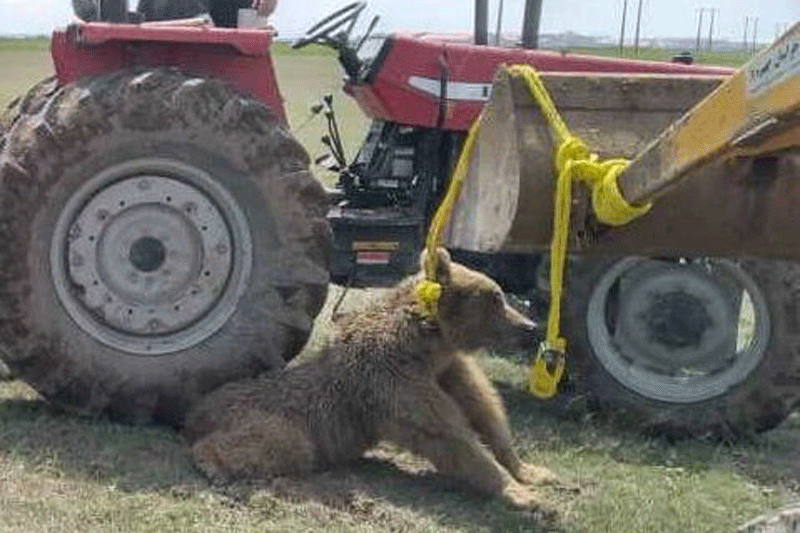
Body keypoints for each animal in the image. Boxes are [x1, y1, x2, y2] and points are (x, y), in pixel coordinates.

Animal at [183, 248, 556, 512]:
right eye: (495, 297)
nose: (530, 327)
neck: (427, 345)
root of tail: (197, 408)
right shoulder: (394, 381)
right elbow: (450, 436)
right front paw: (524, 496)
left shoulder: (447, 371)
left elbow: (485, 412)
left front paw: (532, 472)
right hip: (270, 416)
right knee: (283, 445)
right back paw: (211, 463)